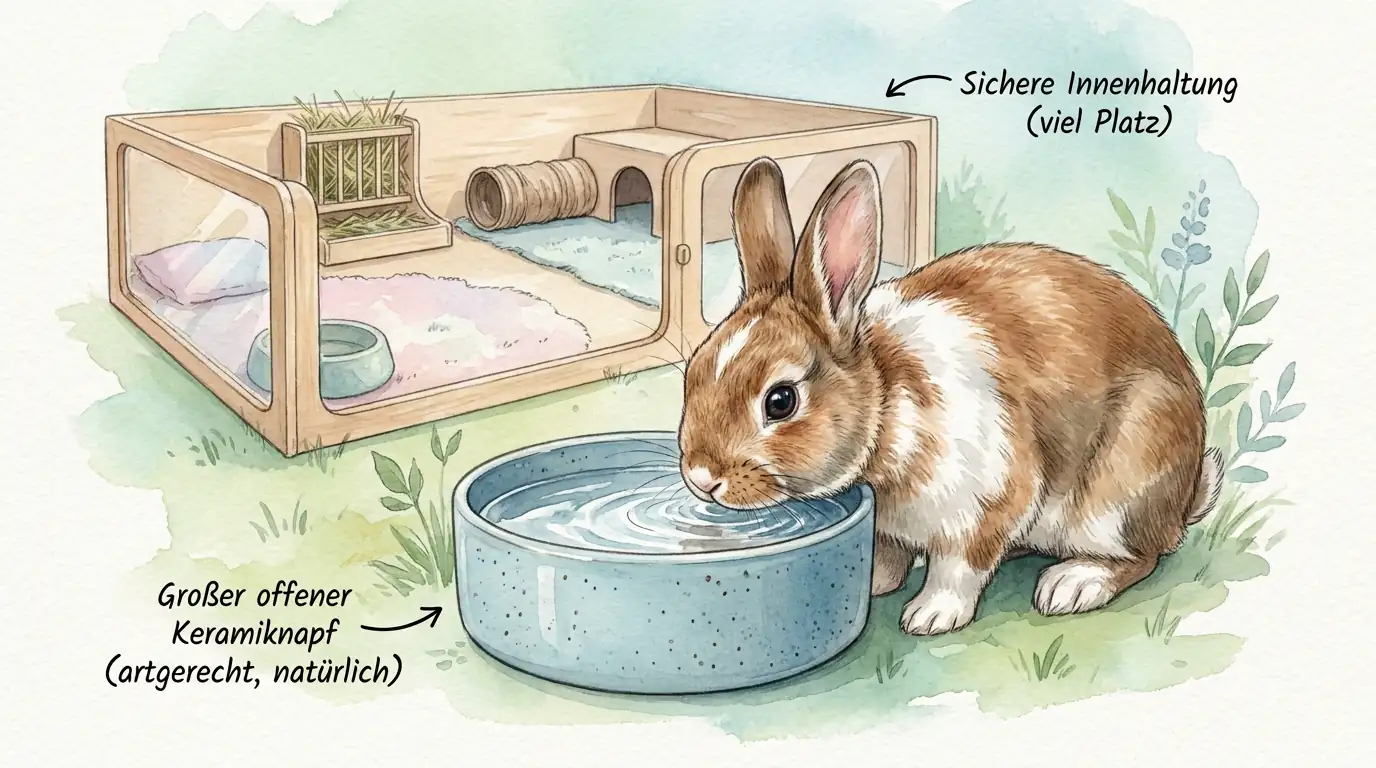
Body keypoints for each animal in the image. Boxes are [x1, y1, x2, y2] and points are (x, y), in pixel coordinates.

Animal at [677, 156, 1224, 636]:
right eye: (694, 372)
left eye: (781, 401)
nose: (701, 477)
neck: (887, 410)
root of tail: (1185, 497)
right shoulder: (888, 527)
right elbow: (887, 553)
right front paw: (874, 585)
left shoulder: (987, 502)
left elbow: (958, 567)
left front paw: (930, 615)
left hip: (1119, 490)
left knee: (1143, 555)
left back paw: (1073, 584)